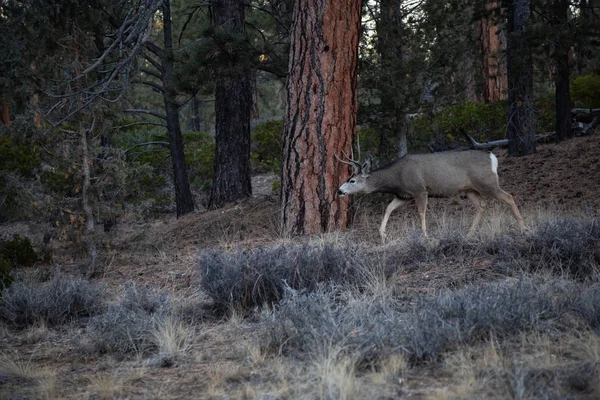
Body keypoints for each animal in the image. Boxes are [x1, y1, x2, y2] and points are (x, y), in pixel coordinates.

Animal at [338, 150, 524, 242]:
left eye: (352, 180)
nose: (339, 191)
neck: (396, 178)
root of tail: (493, 158)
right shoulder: (404, 195)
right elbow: (388, 208)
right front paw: (383, 235)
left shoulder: (420, 189)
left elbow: (421, 213)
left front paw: (425, 236)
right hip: (469, 189)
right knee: (482, 205)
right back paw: (469, 234)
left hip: (487, 182)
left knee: (509, 197)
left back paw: (522, 226)